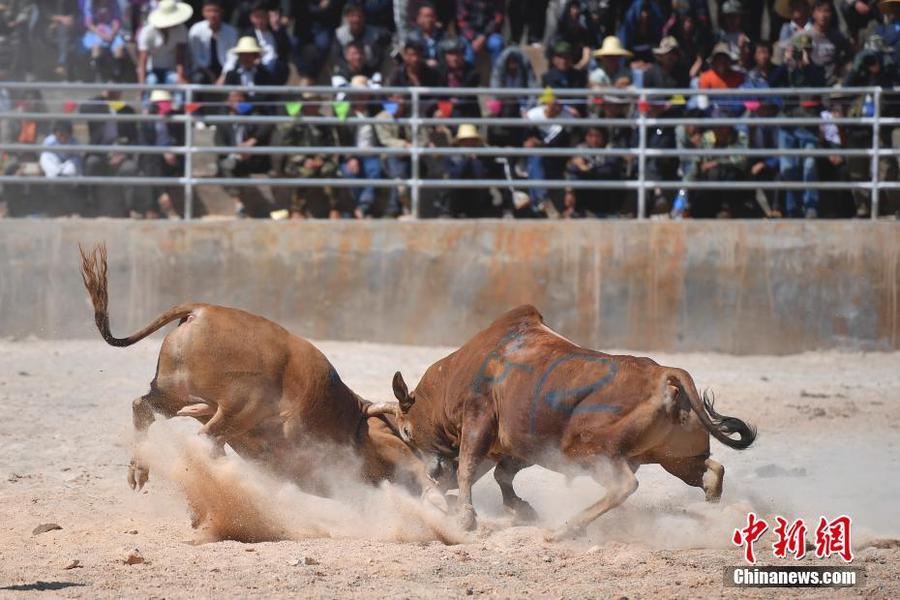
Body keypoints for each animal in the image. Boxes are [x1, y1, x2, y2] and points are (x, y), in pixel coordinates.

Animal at [79, 244, 444, 510]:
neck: (352, 416)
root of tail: (200, 310)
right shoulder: (383, 441)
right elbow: (412, 466)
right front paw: (436, 497)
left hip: (175, 394)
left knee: (147, 409)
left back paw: (141, 470)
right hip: (240, 407)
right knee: (203, 436)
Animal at [384, 304, 756, 540]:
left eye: (407, 431)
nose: (431, 473)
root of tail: (665, 374)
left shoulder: (479, 421)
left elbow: (468, 469)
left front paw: (466, 518)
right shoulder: (522, 444)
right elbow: (502, 474)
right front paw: (521, 509)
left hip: (592, 451)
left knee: (623, 485)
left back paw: (566, 529)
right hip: (675, 458)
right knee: (711, 470)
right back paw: (713, 512)